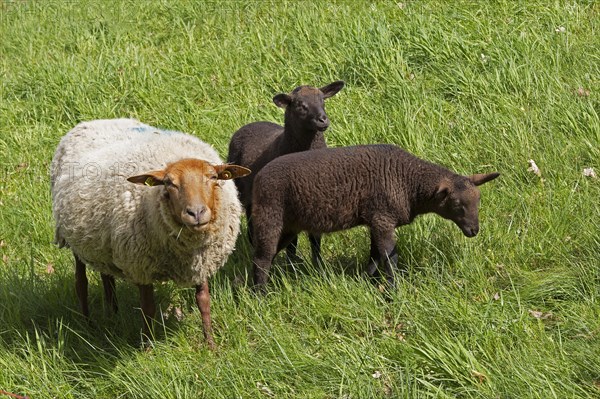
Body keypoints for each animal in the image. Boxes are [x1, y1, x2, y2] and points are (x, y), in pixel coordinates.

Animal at [49, 117, 251, 348]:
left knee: (106, 276)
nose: (196, 213)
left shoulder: (202, 262)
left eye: (213, 177)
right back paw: (87, 324)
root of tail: (94, 121)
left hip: (100, 243)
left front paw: (210, 345)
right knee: (80, 283)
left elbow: (204, 302)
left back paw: (113, 313)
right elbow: (148, 309)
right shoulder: (141, 266)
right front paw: (147, 346)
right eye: (169, 183)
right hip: (73, 240)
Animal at [227, 80, 344, 266]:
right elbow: (293, 241)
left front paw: (318, 265)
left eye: (323, 100)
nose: (323, 120)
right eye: (300, 106)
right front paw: (292, 264)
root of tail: (248, 125)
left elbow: (315, 237)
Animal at [251, 145, 500, 290]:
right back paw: (261, 295)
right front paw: (392, 290)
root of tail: (258, 177)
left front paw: (367, 280)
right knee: (263, 257)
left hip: (290, 225)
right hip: (270, 215)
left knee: (264, 255)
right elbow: (390, 258)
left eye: (478, 201)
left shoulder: (375, 220)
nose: (474, 231)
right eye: (457, 205)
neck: (409, 182)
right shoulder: (383, 219)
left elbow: (375, 256)